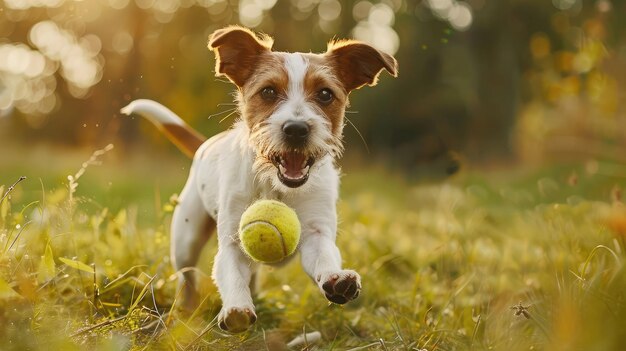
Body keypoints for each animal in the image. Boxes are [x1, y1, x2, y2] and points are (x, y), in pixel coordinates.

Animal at [120, 26, 394, 334]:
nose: (296, 129)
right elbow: (231, 273)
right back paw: (185, 311)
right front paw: (236, 308)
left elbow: (323, 256)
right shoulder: (232, 242)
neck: (277, 186)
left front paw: (337, 280)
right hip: (185, 239)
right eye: (268, 91)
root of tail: (206, 144)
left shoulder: (316, 232)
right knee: (187, 277)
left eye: (325, 94)